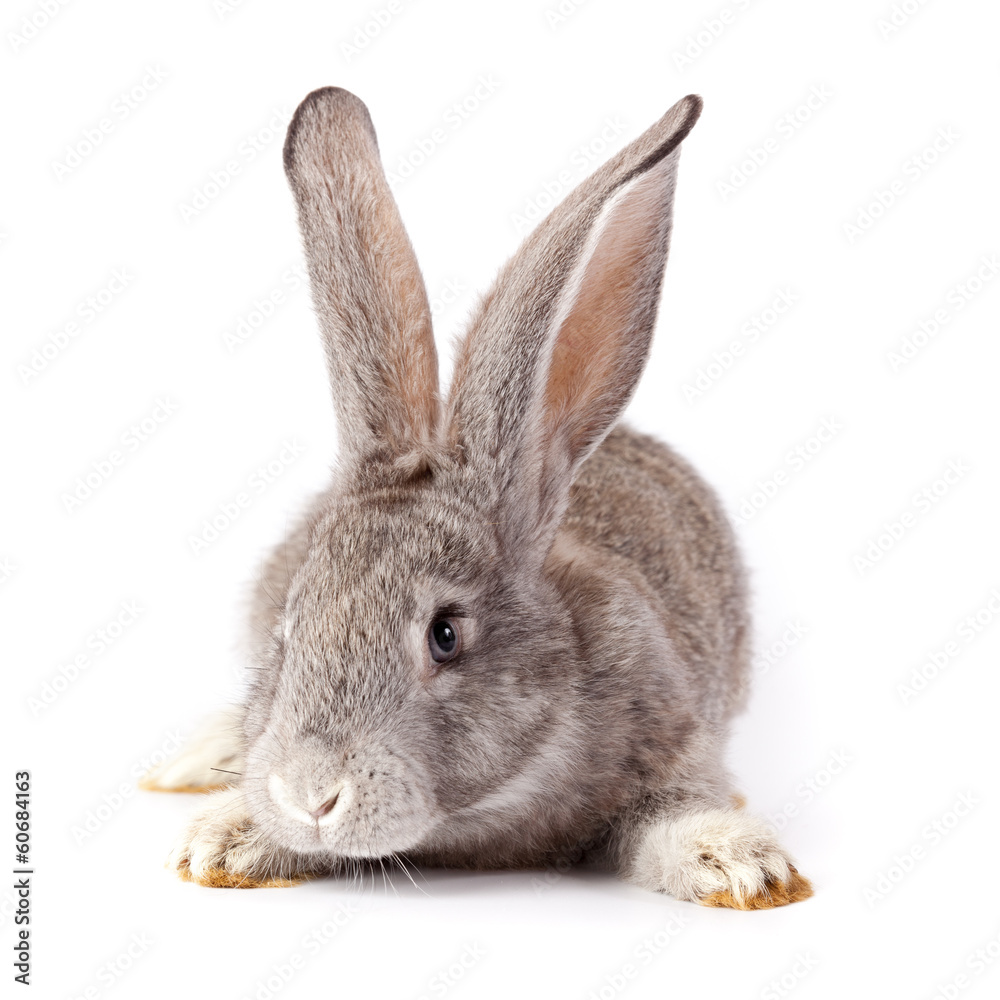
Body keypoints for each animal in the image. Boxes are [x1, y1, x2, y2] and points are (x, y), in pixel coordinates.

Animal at [144, 86, 812, 908]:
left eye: (446, 634)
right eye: (288, 630)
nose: (312, 797)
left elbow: (675, 814)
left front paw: (742, 866)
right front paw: (226, 839)